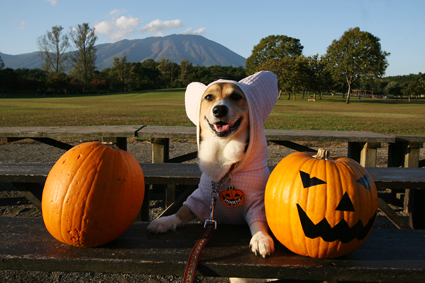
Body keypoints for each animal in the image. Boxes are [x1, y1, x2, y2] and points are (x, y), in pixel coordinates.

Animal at [147, 71, 278, 260]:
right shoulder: (200, 199)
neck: (222, 149)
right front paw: (164, 221)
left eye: (236, 96)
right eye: (209, 97)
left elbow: (259, 222)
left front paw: (261, 239)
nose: (219, 109)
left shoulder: (257, 203)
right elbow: (181, 212)